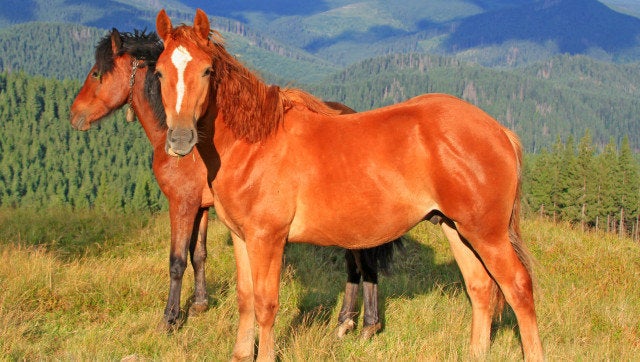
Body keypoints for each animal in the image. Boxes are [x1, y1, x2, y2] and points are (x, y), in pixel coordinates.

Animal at [66, 29, 396, 338]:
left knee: (363, 262)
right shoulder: (201, 207)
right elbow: (198, 254)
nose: (74, 115)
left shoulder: (182, 205)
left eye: (96, 73)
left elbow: (177, 261)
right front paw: (199, 305)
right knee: (354, 263)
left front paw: (170, 319)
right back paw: (346, 321)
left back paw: (366, 324)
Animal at [152, 9, 544, 362]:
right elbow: (246, 300)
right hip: (456, 228)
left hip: (487, 234)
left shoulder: (268, 239)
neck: (256, 142)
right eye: (159, 72)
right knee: (480, 288)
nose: (180, 139)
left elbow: (265, 304)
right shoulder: (242, 237)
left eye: (207, 70)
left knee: (518, 288)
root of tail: (498, 130)